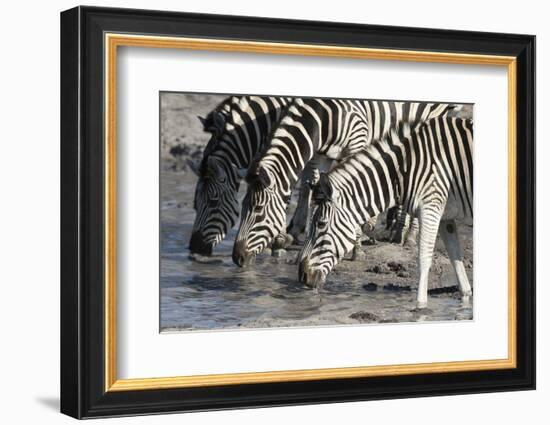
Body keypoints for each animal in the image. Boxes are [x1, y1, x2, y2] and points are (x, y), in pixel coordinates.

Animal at [233, 97, 458, 266]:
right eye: (242, 209)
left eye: (258, 211)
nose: (237, 257)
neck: (323, 117)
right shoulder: (320, 154)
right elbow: (313, 192)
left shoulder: (356, 143)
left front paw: (356, 249)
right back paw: (396, 231)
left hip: (431, 118)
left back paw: (408, 234)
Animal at [300, 116, 476, 306]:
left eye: (321, 224)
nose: (302, 276)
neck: (406, 167)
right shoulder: (445, 216)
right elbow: (455, 256)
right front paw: (466, 299)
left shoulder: (431, 206)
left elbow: (424, 259)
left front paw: (420, 305)